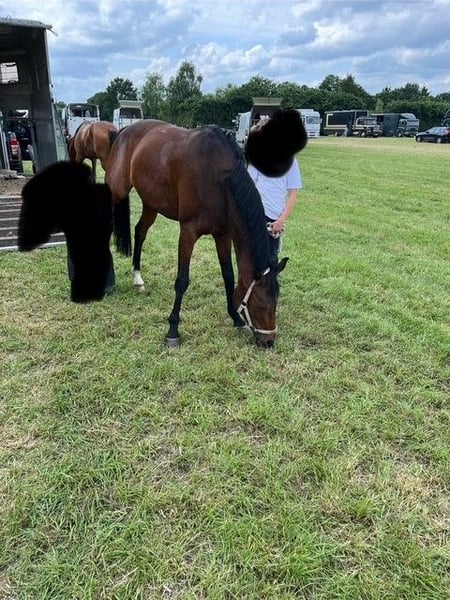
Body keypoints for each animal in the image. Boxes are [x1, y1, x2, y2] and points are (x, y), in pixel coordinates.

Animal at [105, 114, 307, 348]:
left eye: (276, 302)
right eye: (259, 301)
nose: (269, 342)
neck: (216, 178)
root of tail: (123, 131)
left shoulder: (223, 235)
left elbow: (228, 275)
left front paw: (236, 318)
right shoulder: (188, 232)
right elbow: (182, 281)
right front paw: (173, 330)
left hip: (151, 203)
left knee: (140, 232)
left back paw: (137, 277)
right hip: (117, 192)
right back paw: (109, 282)